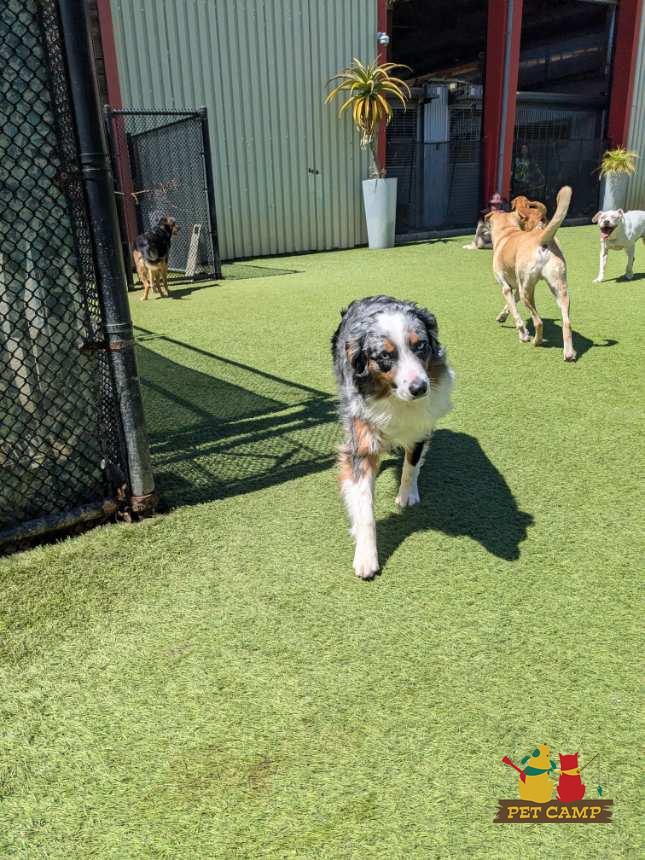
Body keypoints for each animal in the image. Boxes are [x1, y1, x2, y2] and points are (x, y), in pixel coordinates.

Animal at [331, 296, 454, 579]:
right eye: (386, 356)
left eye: (420, 346)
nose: (419, 388)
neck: (394, 398)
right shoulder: (360, 440)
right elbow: (364, 505)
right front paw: (366, 555)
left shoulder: (419, 427)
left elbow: (411, 465)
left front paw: (407, 495)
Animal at [486, 186, 576, 362]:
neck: (508, 232)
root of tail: (541, 239)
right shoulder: (515, 288)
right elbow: (510, 305)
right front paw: (502, 316)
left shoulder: (506, 288)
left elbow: (516, 314)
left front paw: (523, 335)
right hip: (559, 288)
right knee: (567, 322)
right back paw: (569, 353)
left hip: (527, 291)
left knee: (539, 321)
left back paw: (536, 341)